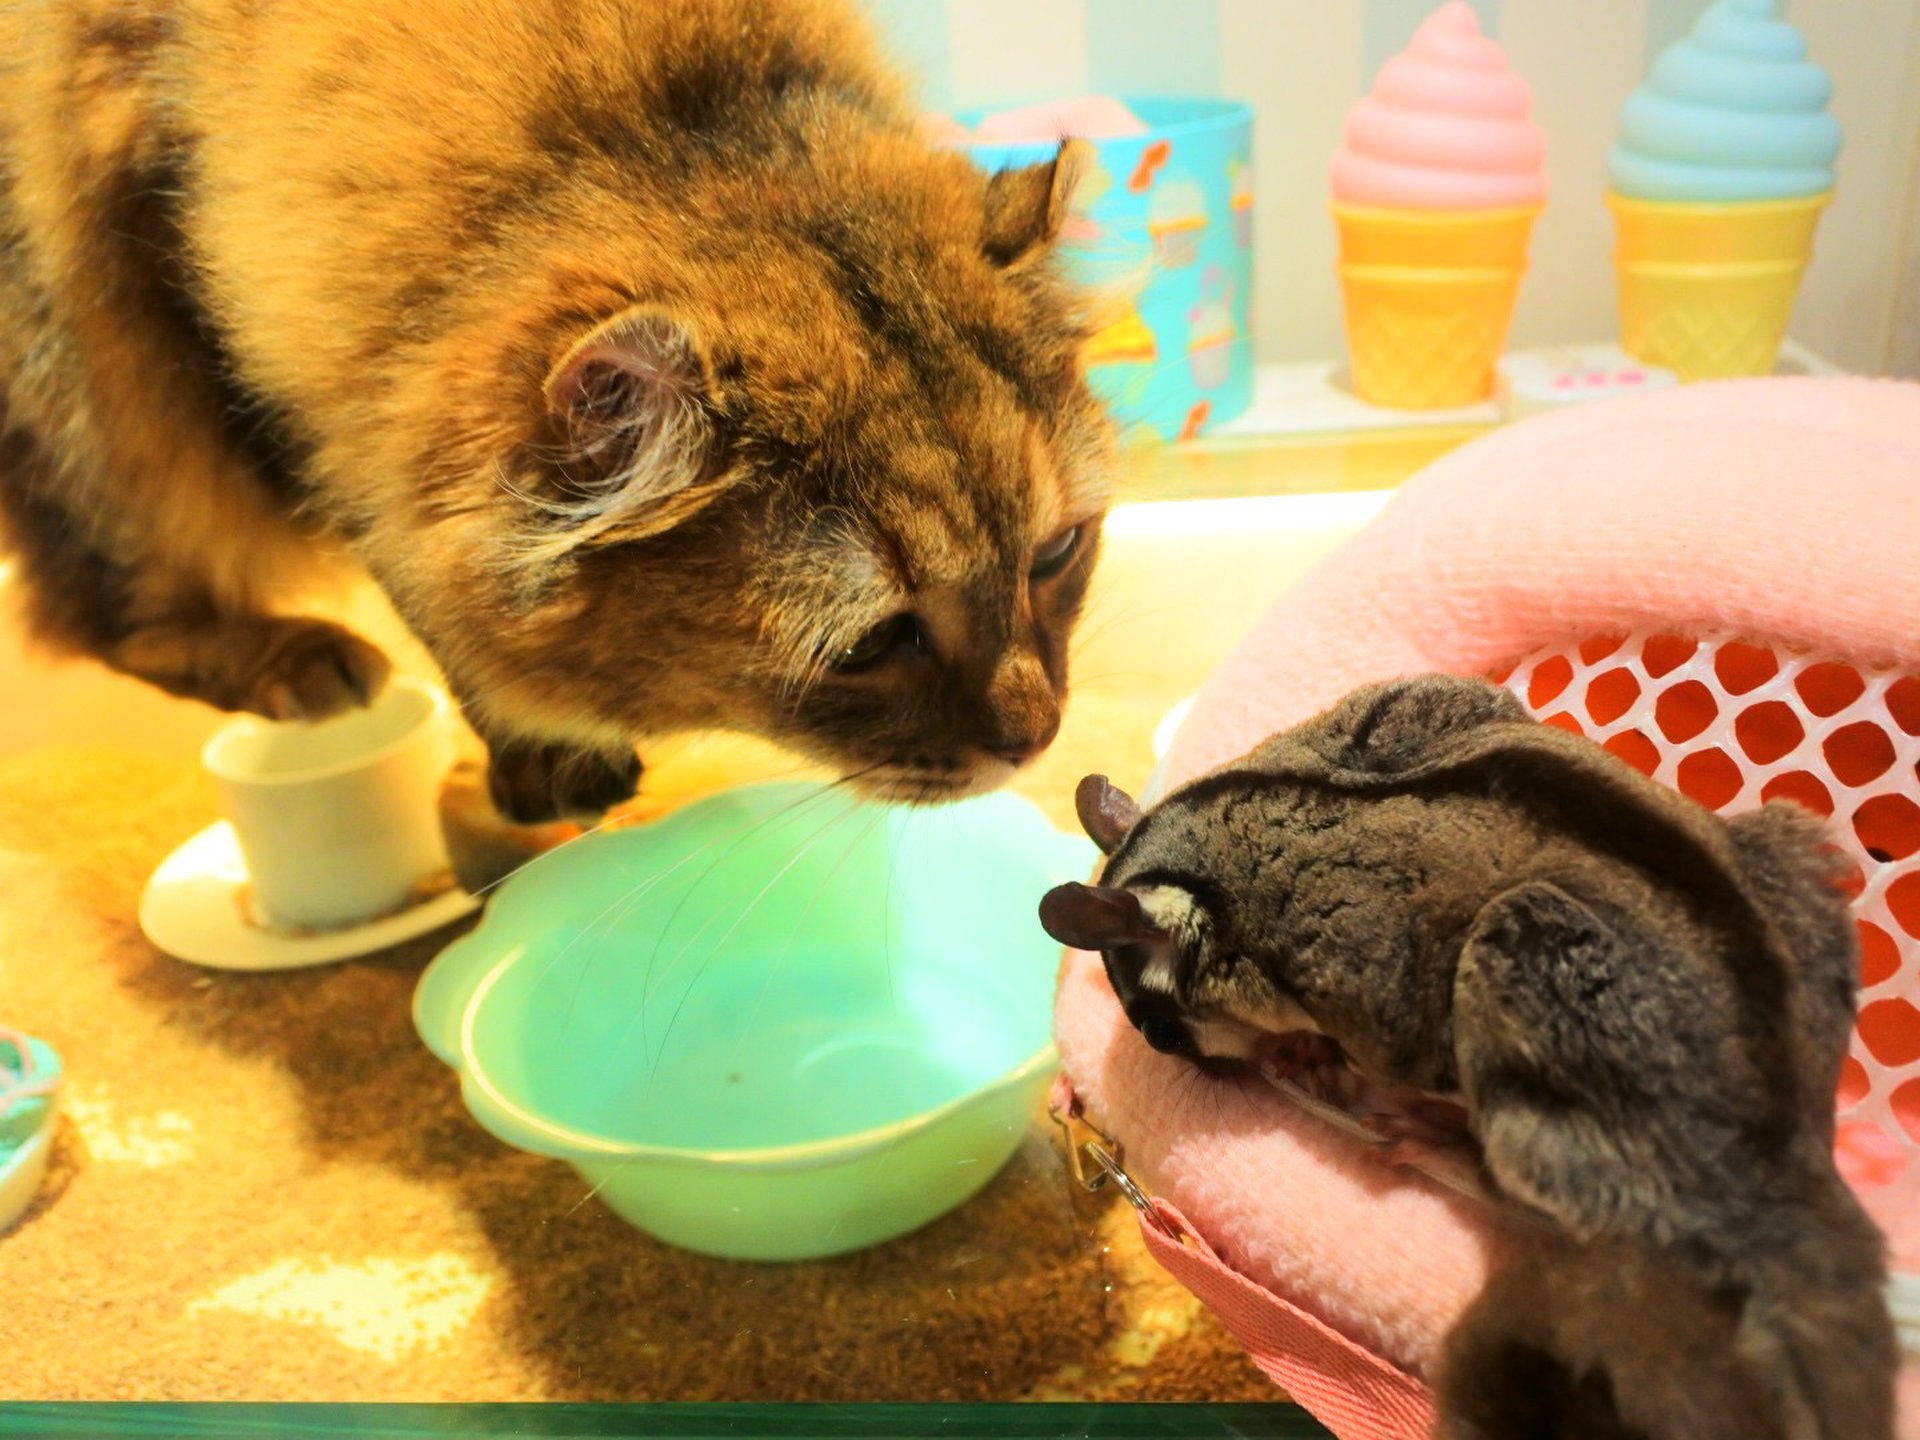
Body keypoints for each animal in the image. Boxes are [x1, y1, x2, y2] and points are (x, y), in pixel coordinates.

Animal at [0, 0, 1113, 817]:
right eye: (871, 646)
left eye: (1057, 554)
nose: (1038, 739)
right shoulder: (267, 373)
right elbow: (406, 558)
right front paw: (542, 753)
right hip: (86, 385)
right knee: (120, 621)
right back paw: (299, 661)